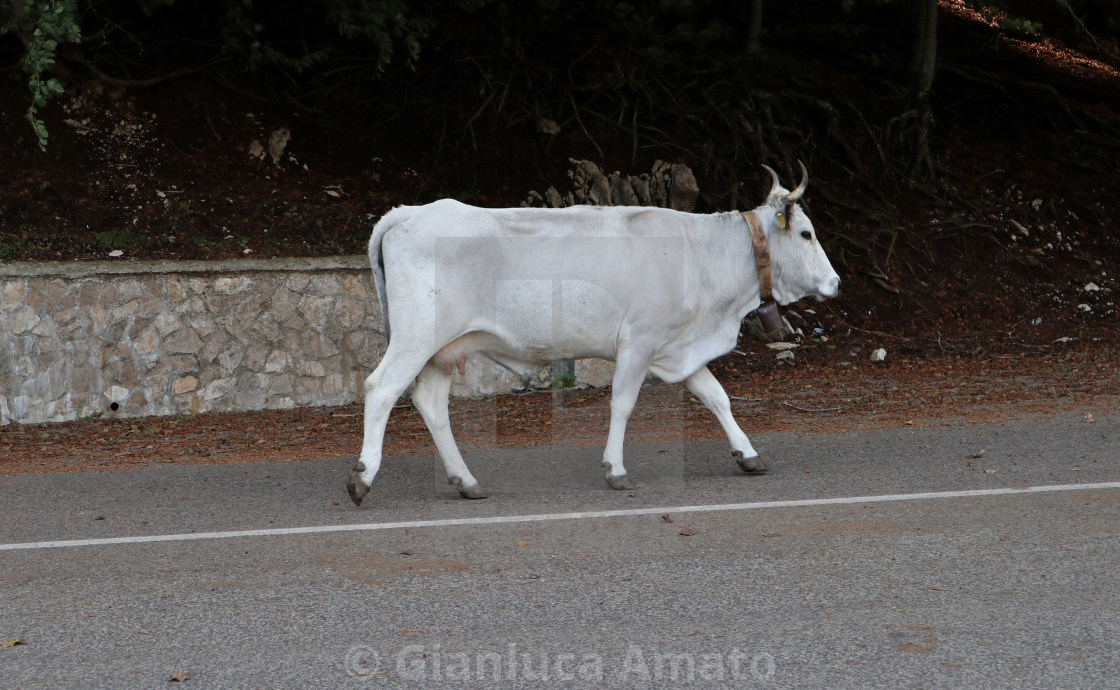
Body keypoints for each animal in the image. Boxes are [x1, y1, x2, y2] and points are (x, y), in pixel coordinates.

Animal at [349, 164, 842, 504]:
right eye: (806, 233)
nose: (836, 283)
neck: (703, 257)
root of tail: (407, 212)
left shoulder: (677, 346)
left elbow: (716, 396)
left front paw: (747, 454)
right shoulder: (639, 342)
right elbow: (622, 404)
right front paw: (615, 469)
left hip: (443, 348)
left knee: (431, 404)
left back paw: (465, 481)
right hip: (416, 339)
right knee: (381, 388)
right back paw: (362, 478)